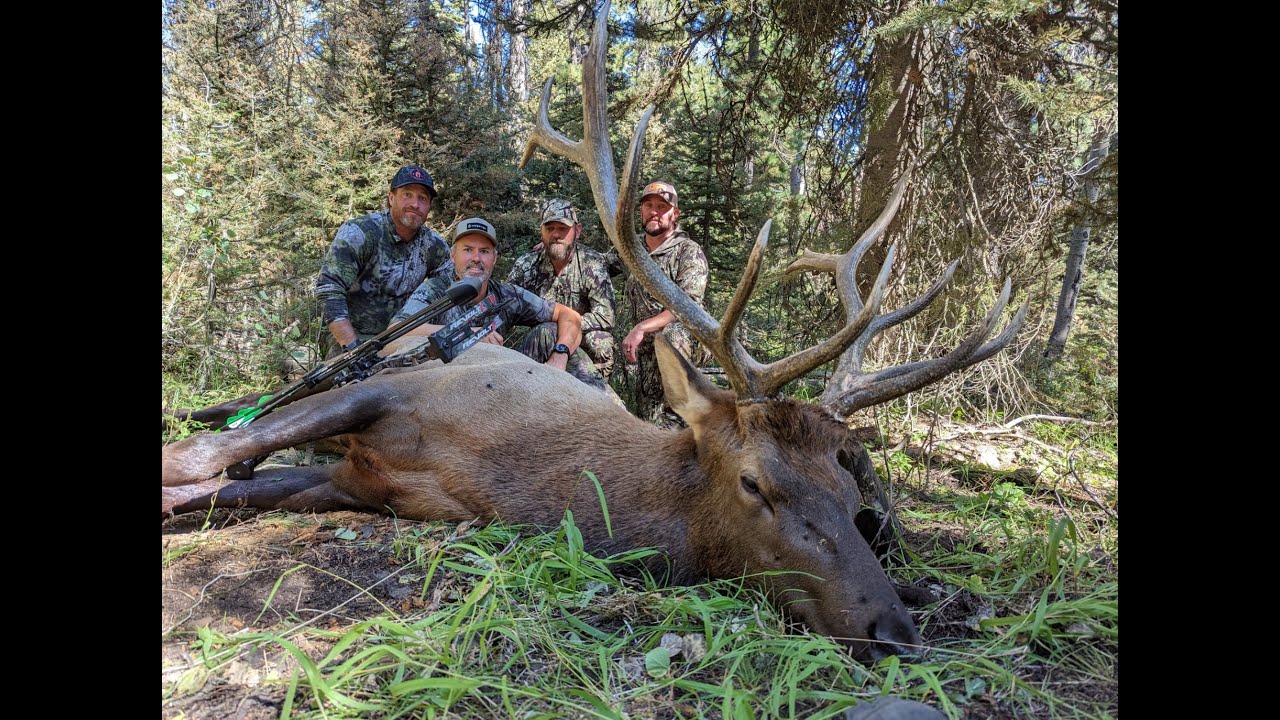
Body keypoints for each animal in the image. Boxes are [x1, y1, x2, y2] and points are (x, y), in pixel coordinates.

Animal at [161, 1, 1026, 663]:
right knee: (242, 412)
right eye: (756, 483)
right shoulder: (394, 391)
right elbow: (197, 458)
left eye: (852, 495)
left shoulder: (358, 484)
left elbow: (216, 490)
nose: (896, 630)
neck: (512, 476)